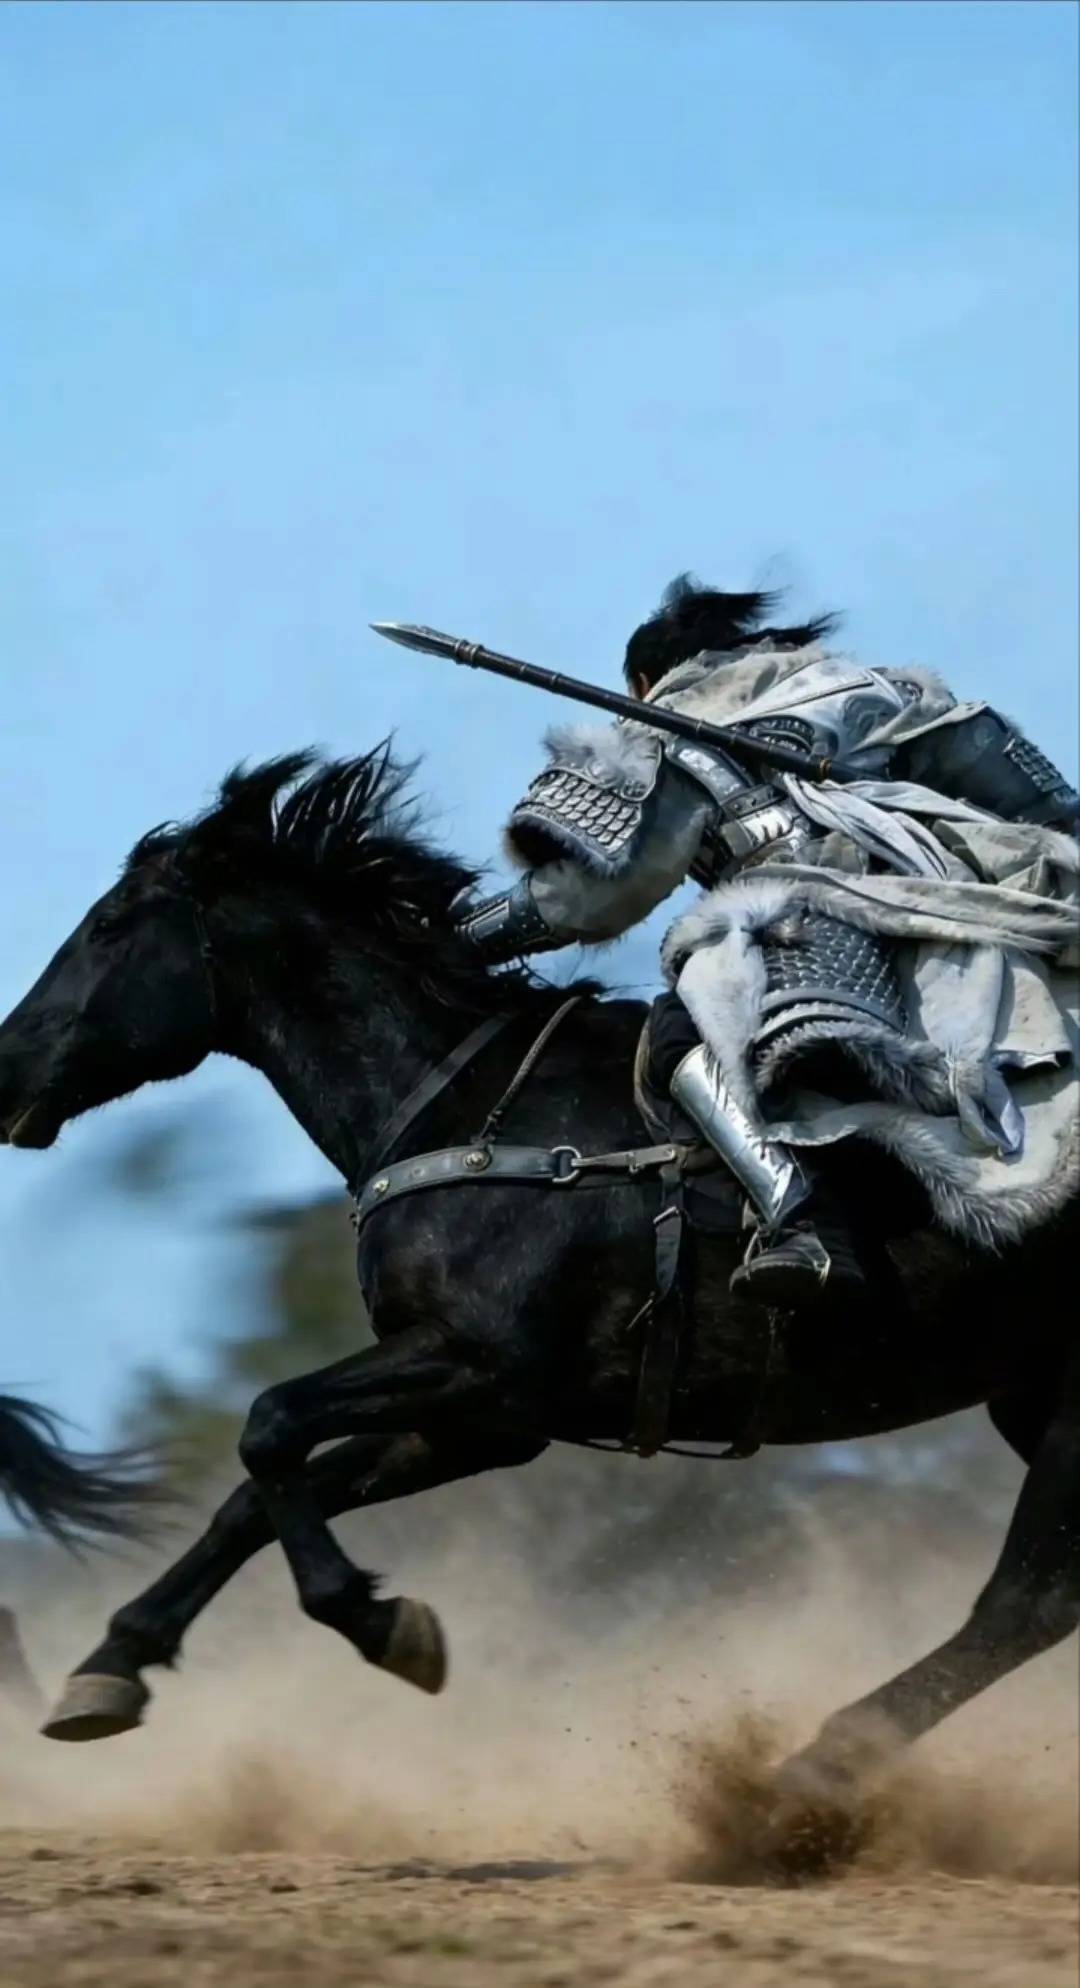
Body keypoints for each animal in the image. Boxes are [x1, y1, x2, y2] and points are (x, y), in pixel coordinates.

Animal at [0, 747, 1074, 1828]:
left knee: (1024, 1601)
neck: (476, 1117)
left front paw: (386, 1624)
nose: (12, 1065)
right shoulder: (484, 1419)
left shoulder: (477, 1368)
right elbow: (257, 1496)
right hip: (1024, 1400)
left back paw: (809, 1773)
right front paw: (109, 1668)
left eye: (111, 922)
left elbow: (268, 1426)